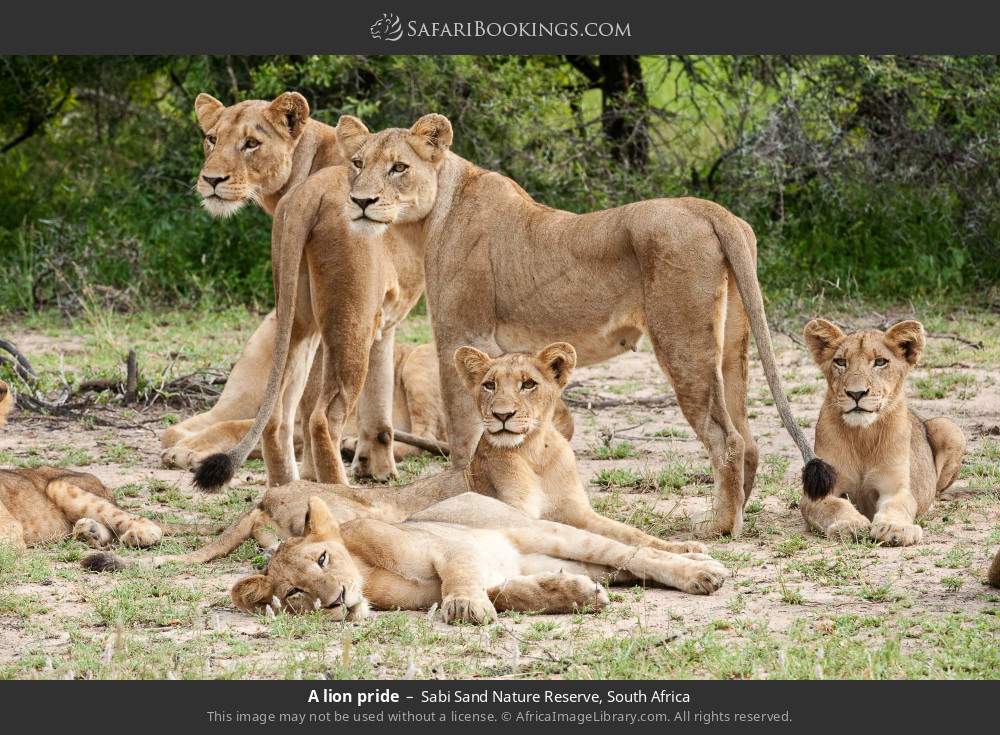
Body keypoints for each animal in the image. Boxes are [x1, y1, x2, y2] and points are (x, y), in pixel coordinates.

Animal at [93, 342, 725, 605]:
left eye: (528, 385)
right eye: (488, 385)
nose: (502, 415)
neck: (537, 452)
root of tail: (262, 500)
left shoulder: (574, 513)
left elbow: (632, 533)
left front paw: (689, 549)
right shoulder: (517, 515)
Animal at [304, 113, 831, 538]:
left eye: (399, 167)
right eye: (357, 163)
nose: (361, 201)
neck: (434, 213)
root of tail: (711, 210)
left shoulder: (461, 332)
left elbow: (463, 432)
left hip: (681, 341)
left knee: (727, 437)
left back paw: (718, 527)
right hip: (731, 347)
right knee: (749, 436)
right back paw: (736, 512)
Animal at [800, 319, 966, 546]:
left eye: (880, 362)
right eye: (841, 362)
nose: (856, 393)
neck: (863, 435)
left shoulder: (896, 487)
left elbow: (898, 505)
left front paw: (895, 529)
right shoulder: (817, 489)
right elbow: (834, 505)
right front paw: (850, 524)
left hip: (950, 428)